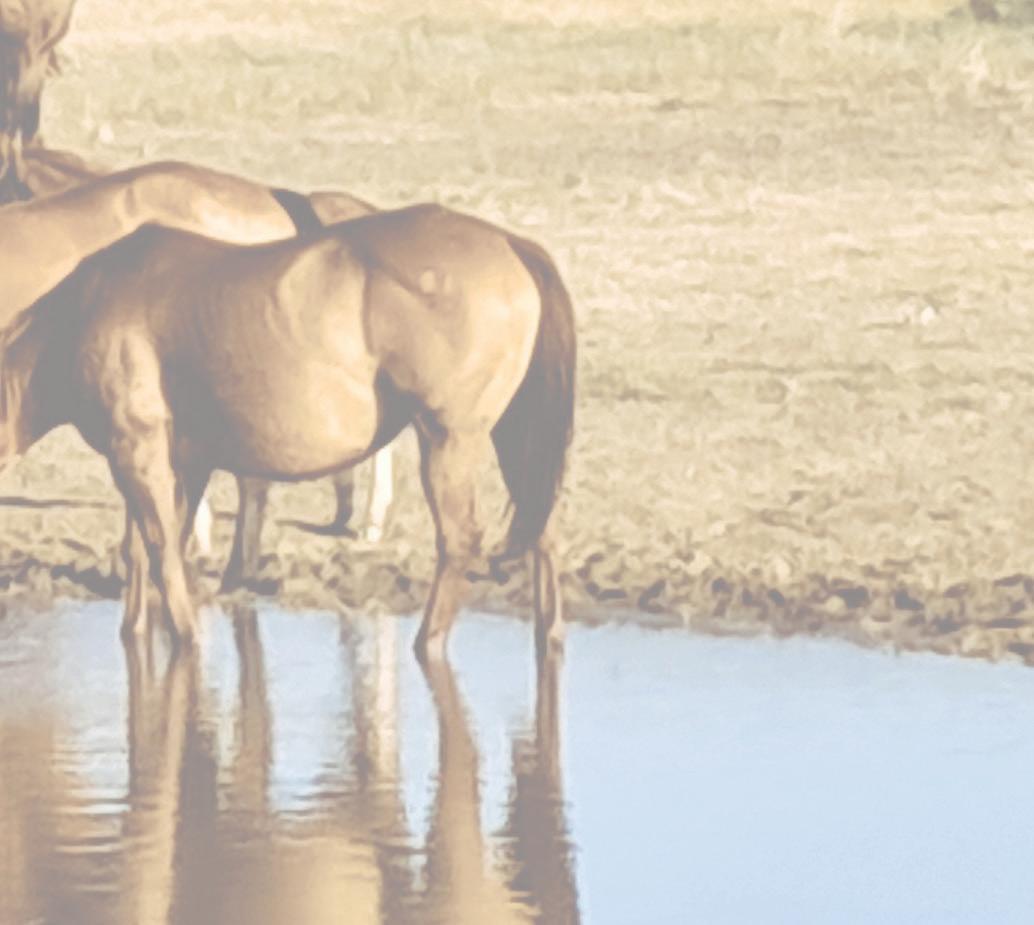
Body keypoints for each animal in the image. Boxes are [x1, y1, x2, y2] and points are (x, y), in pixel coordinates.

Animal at [0, 202, 576, 661]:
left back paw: (427, 641)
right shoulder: (183, 458)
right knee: (544, 528)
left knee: (458, 542)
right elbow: (147, 551)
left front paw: (185, 637)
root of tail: (510, 243)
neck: (81, 315)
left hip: (447, 438)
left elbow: (161, 552)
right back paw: (549, 636)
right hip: (513, 435)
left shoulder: (137, 449)